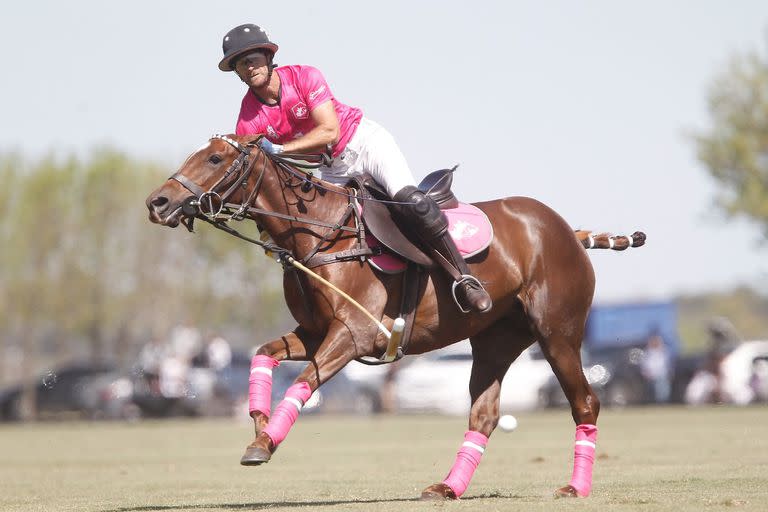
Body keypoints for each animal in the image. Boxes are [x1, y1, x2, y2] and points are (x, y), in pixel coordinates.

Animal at [146, 135, 640, 500]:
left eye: (214, 157)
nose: (158, 202)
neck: (322, 234)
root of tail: (568, 231)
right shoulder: (315, 332)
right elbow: (262, 354)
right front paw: (258, 424)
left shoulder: (356, 333)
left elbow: (303, 382)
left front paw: (263, 444)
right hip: (495, 340)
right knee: (483, 414)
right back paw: (447, 487)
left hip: (558, 332)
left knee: (585, 402)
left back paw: (575, 488)